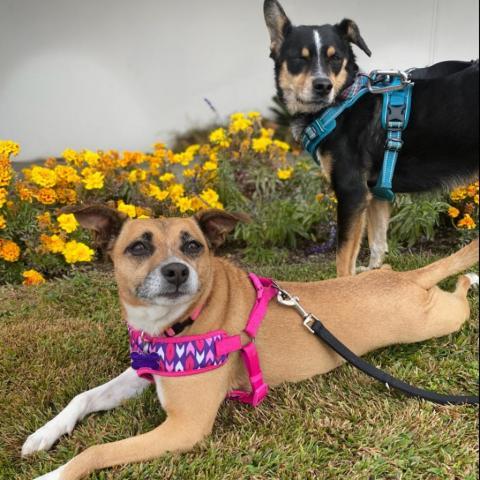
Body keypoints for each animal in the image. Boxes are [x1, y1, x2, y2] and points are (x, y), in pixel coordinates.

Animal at [24, 204, 478, 478]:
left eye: (193, 245)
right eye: (138, 247)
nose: (176, 271)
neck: (178, 323)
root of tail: (403, 277)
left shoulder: (185, 427)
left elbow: (96, 451)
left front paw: (53, 474)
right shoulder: (142, 375)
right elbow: (83, 397)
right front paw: (43, 435)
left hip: (437, 320)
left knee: (459, 300)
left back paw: (470, 278)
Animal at [264, 0, 478, 276]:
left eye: (336, 58)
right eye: (299, 59)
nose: (323, 86)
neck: (341, 103)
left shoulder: (352, 191)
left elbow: (343, 256)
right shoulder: (376, 192)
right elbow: (377, 242)